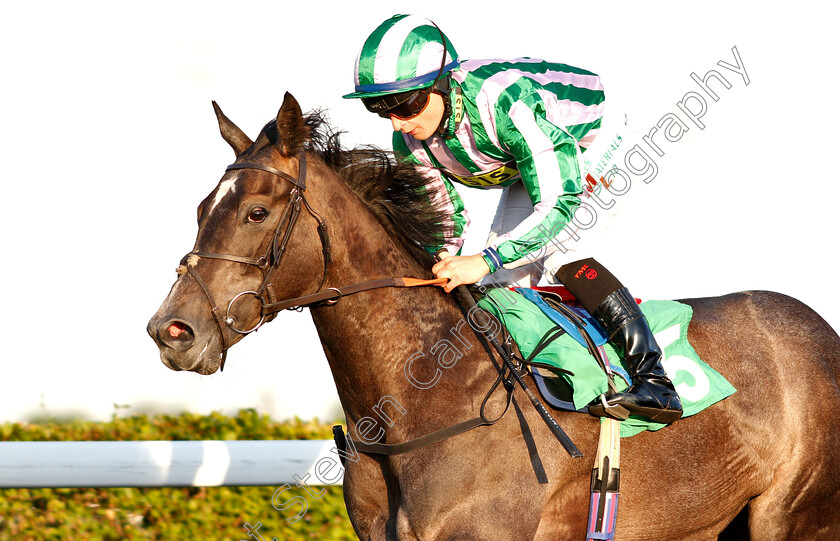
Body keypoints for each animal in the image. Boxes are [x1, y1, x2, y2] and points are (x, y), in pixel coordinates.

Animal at [146, 90, 840, 536]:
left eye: (257, 211)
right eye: (202, 207)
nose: (170, 331)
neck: (425, 397)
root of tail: (819, 328)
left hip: (794, 518)